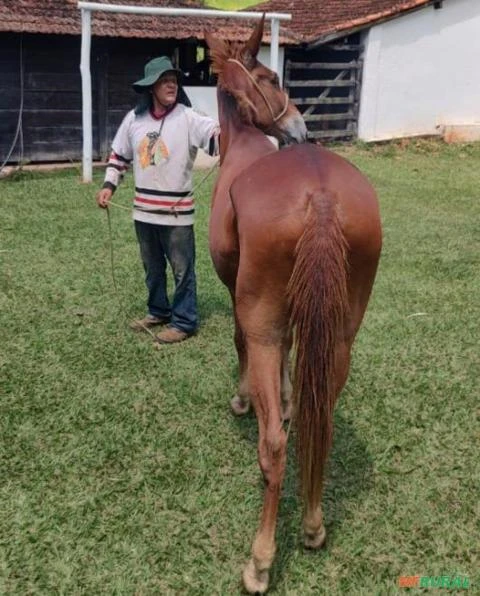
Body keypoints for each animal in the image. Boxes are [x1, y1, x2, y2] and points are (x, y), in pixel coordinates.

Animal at [204, 16, 380, 592]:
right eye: (271, 78)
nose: (300, 129)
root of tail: (319, 195)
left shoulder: (244, 304)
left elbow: (241, 345)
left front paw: (246, 399)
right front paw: (281, 396)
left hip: (265, 321)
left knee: (276, 446)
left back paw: (260, 560)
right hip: (342, 335)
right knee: (316, 422)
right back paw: (313, 525)